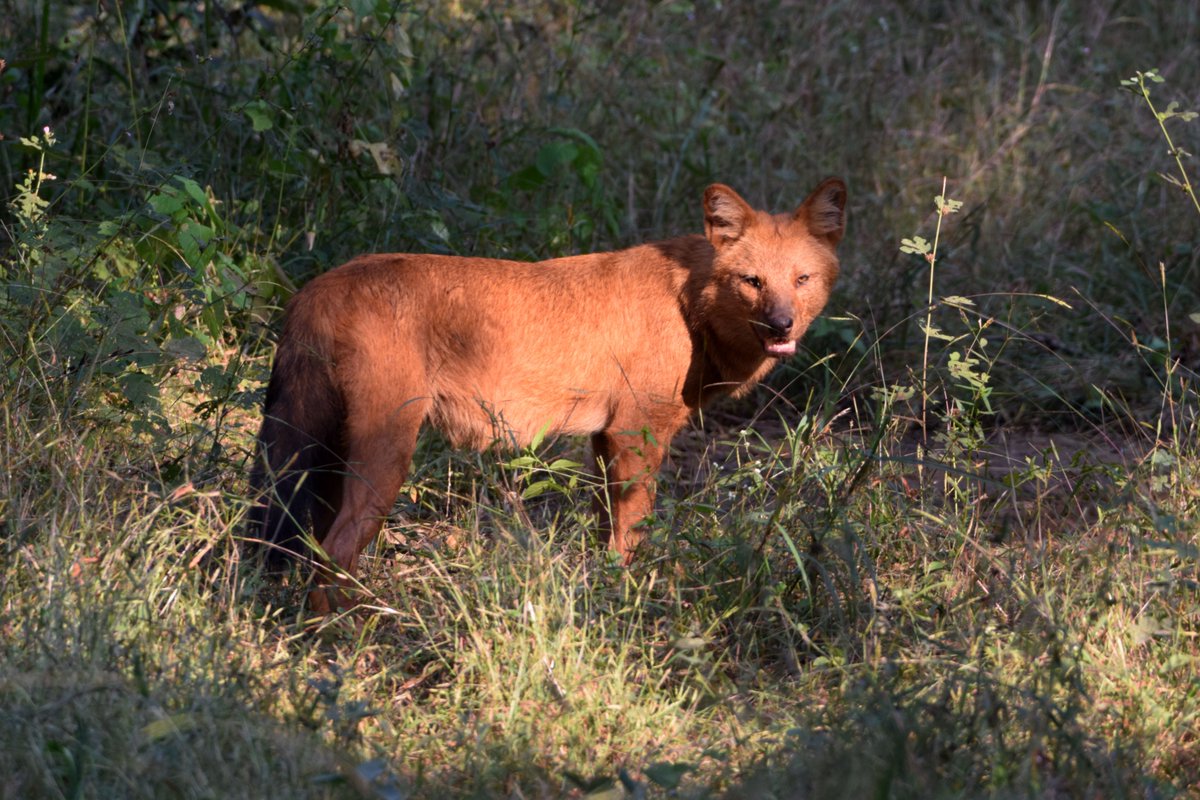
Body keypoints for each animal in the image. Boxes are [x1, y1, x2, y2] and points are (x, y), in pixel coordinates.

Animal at [246, 176, 844, 614]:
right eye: (752, 281)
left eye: (802, 279)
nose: (782, 325)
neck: (687, 304)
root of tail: (317, 290)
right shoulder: (636, 435)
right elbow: (634, 534)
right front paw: (628, 605)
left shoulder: (605, 440)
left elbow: (608, 533)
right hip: (385, 453)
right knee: (333, 554)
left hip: (313, 457)